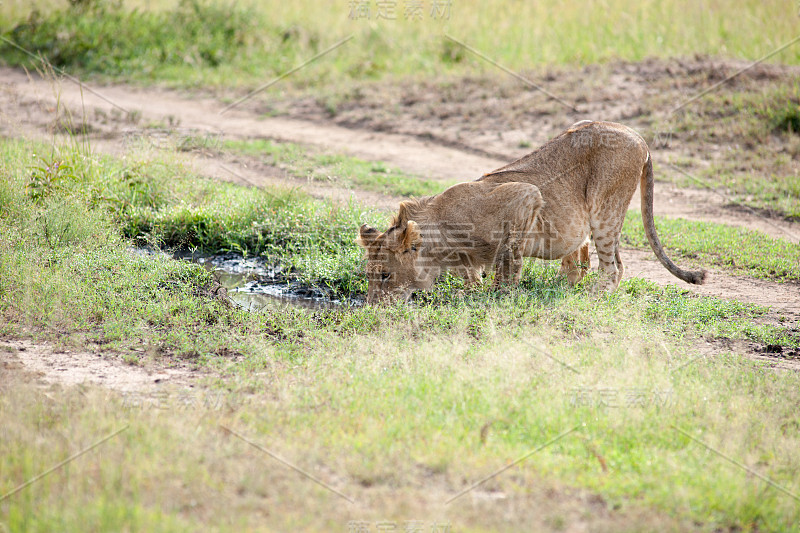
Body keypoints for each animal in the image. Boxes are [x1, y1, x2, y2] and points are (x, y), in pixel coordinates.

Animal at [360, 121, 708, 304]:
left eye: (385, 274)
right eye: (369, 275)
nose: (374, 307)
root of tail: (637, 136)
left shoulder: (525, 197)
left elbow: (507, 259)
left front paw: (497, 297)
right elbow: (474, 272)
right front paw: (472, 290)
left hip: (605, 208)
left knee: (614, 267)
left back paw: (591, 295)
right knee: (579, 260)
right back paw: (562, 284)